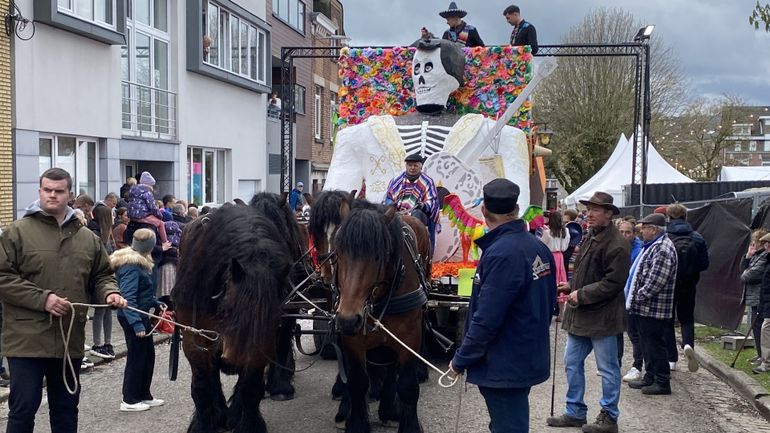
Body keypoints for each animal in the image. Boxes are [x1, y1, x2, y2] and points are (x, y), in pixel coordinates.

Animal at [332, 203, 432, 432]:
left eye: (379, 255)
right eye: (338, 253)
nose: (348, 319)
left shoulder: (409, 338)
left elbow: (407, 387)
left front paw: (409, 425)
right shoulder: (352, 340)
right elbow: (358, 382)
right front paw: (357, 423)